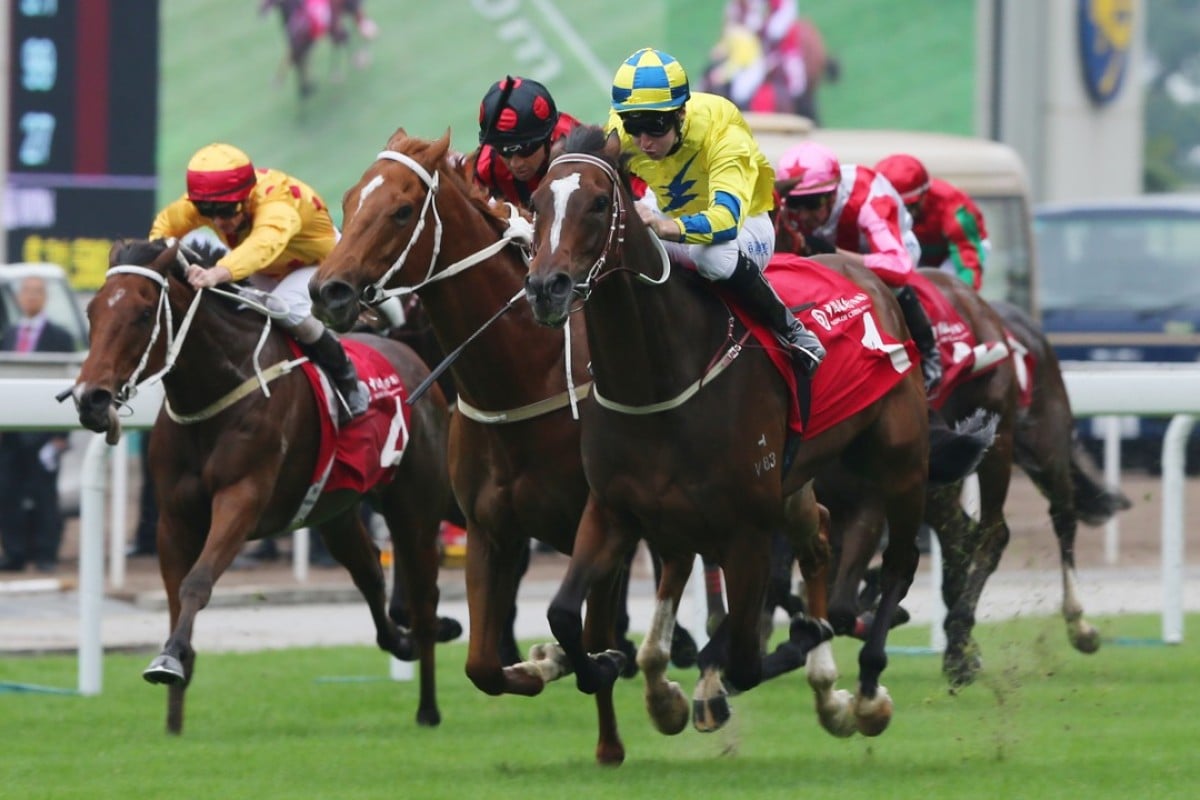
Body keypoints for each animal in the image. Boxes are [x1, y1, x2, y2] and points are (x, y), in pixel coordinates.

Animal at [71, 239, 453, 738]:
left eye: (141, 313)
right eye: (92, 311)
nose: (89, 399)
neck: (218, 391)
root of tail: (408, 354)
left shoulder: (242, 499)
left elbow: (197, 583)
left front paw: (169, 661)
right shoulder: (173, 518)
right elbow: (175, 597)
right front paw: (173, 714)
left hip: (415, 508)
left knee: (424, 600)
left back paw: (428, 708)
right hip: (335, 508)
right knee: (369, 569)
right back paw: (400, 644)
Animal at [307, 130, 638, 762]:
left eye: (402, 210)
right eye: (350, 199)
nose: (327, 290)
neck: (524, 377)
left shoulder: (603, 523)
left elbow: (587, 633)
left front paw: (608, 721)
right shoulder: (489, 528)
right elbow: (483, 665)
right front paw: (536, 665)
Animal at [520, 126, 998, 753]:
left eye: (599, 203)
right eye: (536, 203)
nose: (545, 288)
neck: (658, 379)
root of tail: (873, 281)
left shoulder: (745, 526)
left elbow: (744, 654)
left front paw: (714, 682)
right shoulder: (613, 509)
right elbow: (562, 611)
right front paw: (599, 664)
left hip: (900, 462)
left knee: (898, 563)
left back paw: (866, 687)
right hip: (797, 482)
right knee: (821, 537)